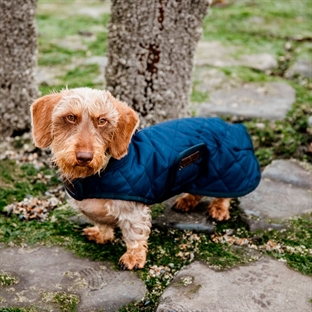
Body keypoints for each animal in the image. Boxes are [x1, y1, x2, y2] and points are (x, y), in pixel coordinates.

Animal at [31, 88, 260, 270]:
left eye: (102, 121)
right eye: (70, 117)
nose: (85, 157)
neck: (98, 173)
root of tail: (231, 126)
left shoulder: (133, 211)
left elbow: (135, 235)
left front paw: (133, 258)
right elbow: (103, 224)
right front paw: (102, 234)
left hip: (227, 172)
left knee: (223, 195)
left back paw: (219, 209)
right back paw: (187, 200)